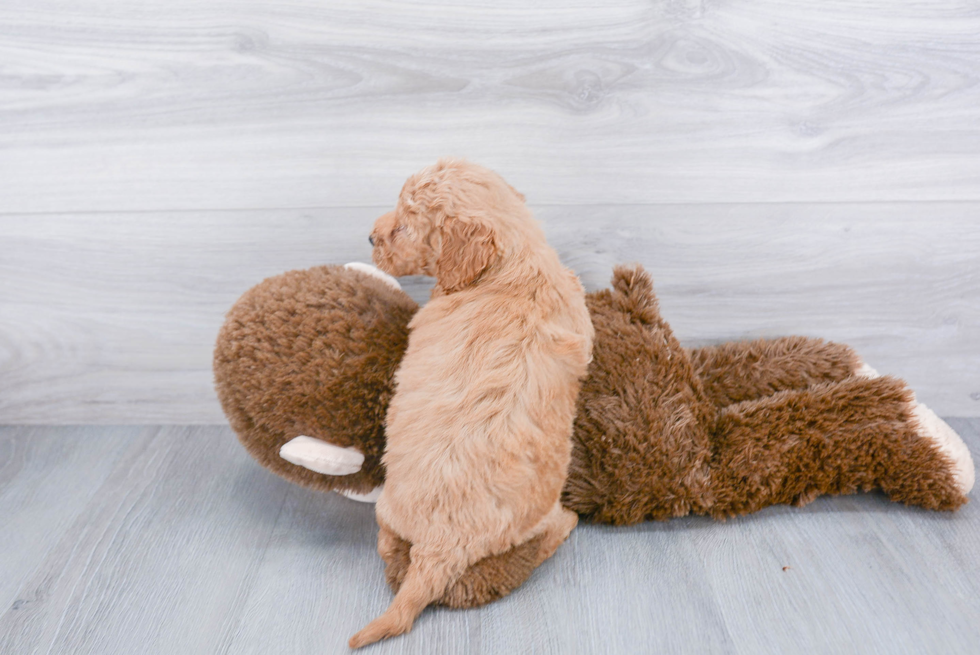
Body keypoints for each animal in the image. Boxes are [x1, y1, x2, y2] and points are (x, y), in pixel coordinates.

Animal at [354, 161, 596, 648]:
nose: (371, 237)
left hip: (392, 508)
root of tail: (440, 548)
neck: (513, 265)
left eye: (404, 225)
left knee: (389, 545)